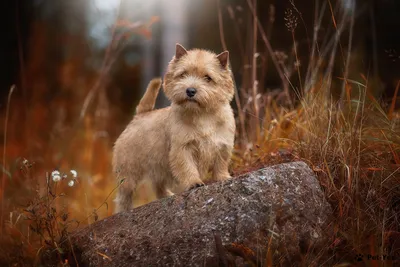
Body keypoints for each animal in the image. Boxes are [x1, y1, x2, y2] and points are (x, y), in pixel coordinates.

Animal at [112, 43, 236, 214]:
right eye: (183, 74)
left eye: (208, 78)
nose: (190, 90)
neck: (203, 115)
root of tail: (140, 115)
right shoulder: (183, 148)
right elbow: (188, 167)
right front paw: (194, 183)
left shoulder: (222, 145)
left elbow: (221, 164)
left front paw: (223, 178)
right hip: (129, 170)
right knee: (125, 194)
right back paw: (124, 210)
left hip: (159, 166)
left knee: (158, 185)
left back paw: (167, 195)